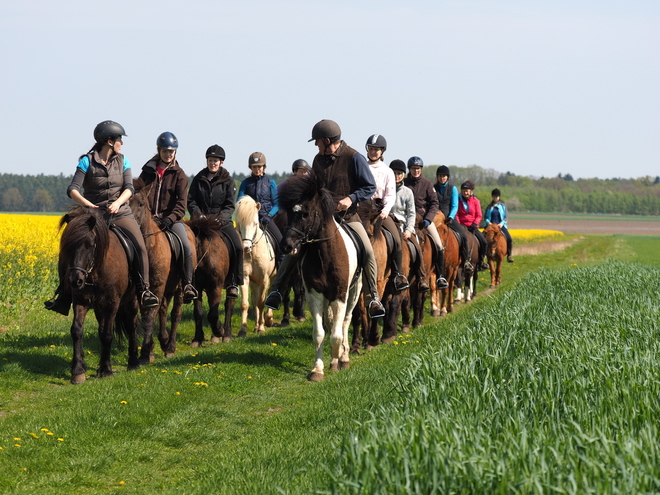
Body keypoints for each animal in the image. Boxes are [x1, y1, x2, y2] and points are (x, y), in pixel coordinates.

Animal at [56, 207, 139, 386]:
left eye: (90, 245)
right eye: (68, 246)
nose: (75, 280)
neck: (95, 271)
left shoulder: (112, 303)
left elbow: (107, 334)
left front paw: (107, 370)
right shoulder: (81, 302)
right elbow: (77, 330)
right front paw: (78, 371)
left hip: (132, 301)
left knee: (131, 326)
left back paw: (134, 362)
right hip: (100, 308)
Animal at [130, 180, 196, 362]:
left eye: (141, 204)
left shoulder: (157, 286)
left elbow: (150, 315)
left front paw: (145, 354)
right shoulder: (143, 290)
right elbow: (147, 314)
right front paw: (150, 350)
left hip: (180, 287)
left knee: (175, 314)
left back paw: (170, 346)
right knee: (164, 310)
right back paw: (164, 341)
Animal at [186, 215, 237, 346]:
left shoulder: (216, 287)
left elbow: (213, 314)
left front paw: (220, 331)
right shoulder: (198, 288)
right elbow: (199, 312)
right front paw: (197, 339)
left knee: (229, 304)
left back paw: (226, 334)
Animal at [235, 196, 276, 336]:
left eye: (255, 224)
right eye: (239, 224)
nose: (246, 247)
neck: (253, 253)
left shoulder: (264, 279)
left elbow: (261, 302)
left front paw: (262, 327)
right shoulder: (245, 278)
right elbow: (246, 304)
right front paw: (243, 329)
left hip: (272, 277)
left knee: (269, 293)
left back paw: (268, 320)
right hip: (254, 282)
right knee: (254, 298)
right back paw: (256, 326)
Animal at [278, 172, 364, 382]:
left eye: (305, 213)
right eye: (289, 213)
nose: (286, 246)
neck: (324, 255)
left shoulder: (340, 295)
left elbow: (337, 334)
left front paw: (338, 359)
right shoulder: (314, 295)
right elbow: (319, 333)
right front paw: (318, 369)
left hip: (354, 291)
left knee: (346, 321)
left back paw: (344, 357)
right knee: (331, 323)